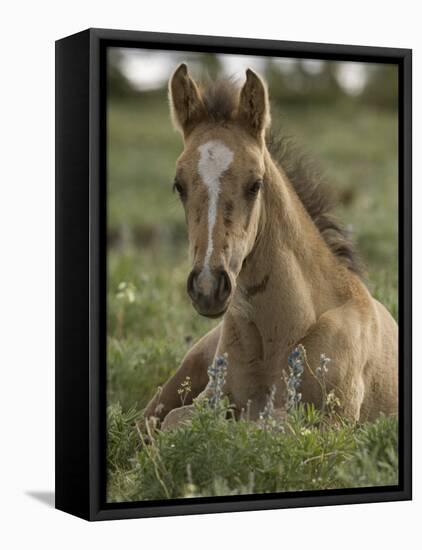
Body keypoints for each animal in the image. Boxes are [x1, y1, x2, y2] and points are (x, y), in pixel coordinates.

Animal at [143, 63, 398, 426]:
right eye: (179, 185)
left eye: (255, 184)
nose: (208, 287)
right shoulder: (209, 399)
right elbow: (175, 423)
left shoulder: (332, 422)